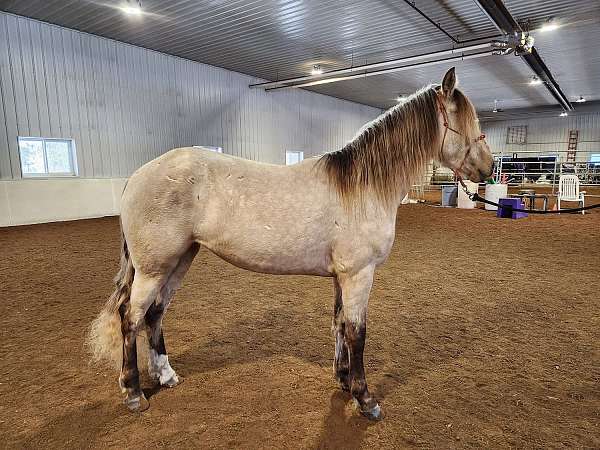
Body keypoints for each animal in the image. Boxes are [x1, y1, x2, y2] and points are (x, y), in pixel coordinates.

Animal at [88, 68, 492, 420]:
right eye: (469, 122)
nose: (488, 169)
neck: (361, 187)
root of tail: (137, 175)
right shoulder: (359, 274)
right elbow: (357, 333)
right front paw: (365, 398)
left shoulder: (341, 276)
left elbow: (339, 325)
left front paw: (343, 380)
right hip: (153, 267)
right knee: (131, 318)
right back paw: (134, 393)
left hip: (180, 259)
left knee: (155, 315)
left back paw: (167, 376)